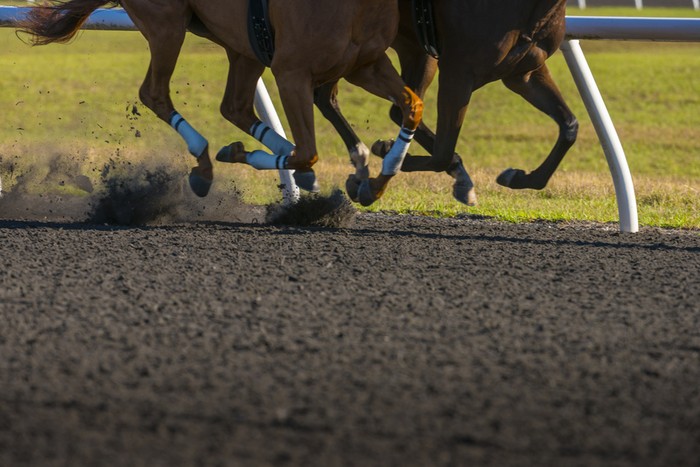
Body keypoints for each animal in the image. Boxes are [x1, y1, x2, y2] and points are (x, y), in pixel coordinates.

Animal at [18, 0, 423, 206]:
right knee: (154, 93)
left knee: (236, 107)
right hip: (169, 25)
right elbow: (309, 152)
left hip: (241, 44)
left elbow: (412, 105)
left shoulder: (367, 65)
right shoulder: (292, 72)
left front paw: (377, 181)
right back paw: (204, 162)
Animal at [314, 0, 577, 206]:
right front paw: (380, 167)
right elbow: (442, 152)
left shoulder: (524, 73)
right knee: (326, 95)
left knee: (387, 107)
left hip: (415, 50)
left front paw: (518, 177)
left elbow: (569, 126)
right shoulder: (458, 72)